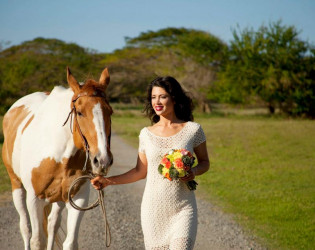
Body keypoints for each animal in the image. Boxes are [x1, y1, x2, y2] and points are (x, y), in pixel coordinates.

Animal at [2, 67, 113, 249]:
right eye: (80, 113)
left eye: (110, 112)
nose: (102, 160)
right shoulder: (34, 199)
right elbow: (37, 240)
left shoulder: (78, 198)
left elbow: (70, 241)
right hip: (16, 185)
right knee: (25, 228)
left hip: (59, 198)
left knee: (53, 224)